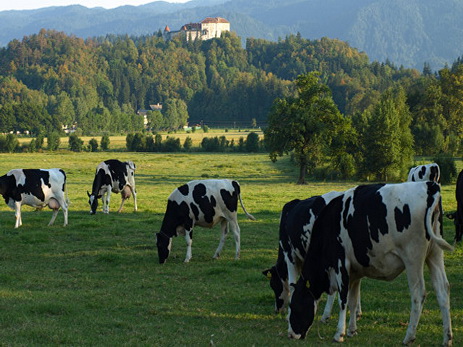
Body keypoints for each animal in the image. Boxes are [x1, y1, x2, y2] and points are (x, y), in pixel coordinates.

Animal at [286, 182, 454, 347]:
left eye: (294, 306)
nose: (291, 335)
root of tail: (429, 185)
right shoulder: (355, 272)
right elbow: (353, 301)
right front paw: (352, 330)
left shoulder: (341, 263)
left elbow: (343, 299)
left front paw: (339, 334)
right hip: (435, 254)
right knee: (443, 290)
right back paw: (447, 338)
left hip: (413, 258)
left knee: (418, 294)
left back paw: (409, 337)